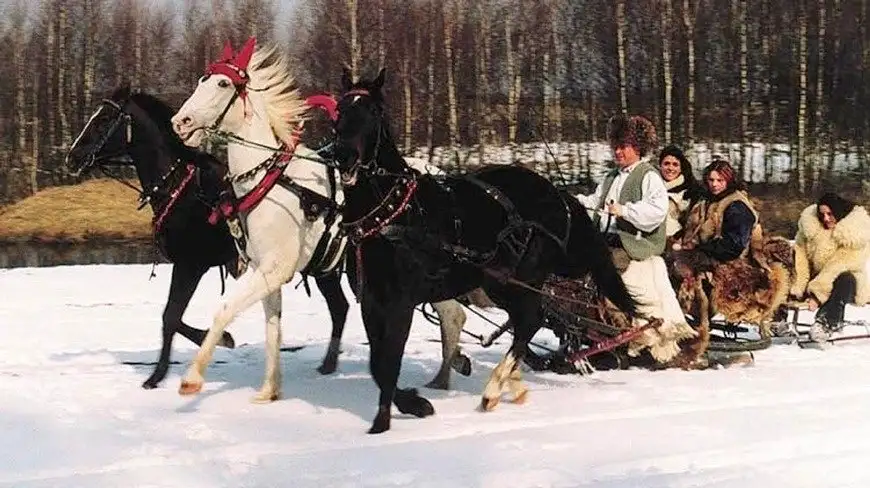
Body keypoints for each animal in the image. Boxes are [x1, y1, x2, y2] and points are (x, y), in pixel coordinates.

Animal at [65, 85, 350, 388]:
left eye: (104, 119)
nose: (72, 158)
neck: (183, 190)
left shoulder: (191, 265)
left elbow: (171, 316)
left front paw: (157, 375)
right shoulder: (192, 265)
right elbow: (173, 316)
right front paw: (221, 338)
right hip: (323, 267)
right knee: (340, 307)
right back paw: (328, 364)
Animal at [170, 40, 470, 402]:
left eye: (223, 84)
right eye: (202, 79)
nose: (180, 121)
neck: (271, 180)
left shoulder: (275, 268)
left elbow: (226, 309)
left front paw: (192, 376)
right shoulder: (265, 270)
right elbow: (273, 327)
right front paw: (269, 389)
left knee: (453, 315)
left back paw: (445, 376)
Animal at [334, 69, 640, 434]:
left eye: (373, 112)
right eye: (339, 109)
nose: (342, 154)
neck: (392, 214)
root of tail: (557, 194)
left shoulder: (401, 302)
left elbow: (387, 361)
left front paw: (392, 417)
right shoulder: (372, 301)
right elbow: (377, 363)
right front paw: (407, 407)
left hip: (518, 278)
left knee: (531, 319)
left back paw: (495, 388)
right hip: (501, 283)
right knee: (527, 320)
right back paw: (512, 384)